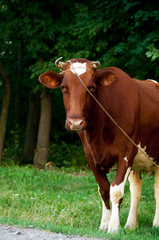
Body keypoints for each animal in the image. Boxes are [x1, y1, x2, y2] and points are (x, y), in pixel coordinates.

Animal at [39, 57, 159, 232]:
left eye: (92, 87)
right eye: (63, 87)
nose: (75, 122)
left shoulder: (126, 152)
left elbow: (116, 190)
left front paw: (114, 227)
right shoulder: (89, 154)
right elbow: (104, 188)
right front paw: (104, 224)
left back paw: (156, 224)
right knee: (137, 188)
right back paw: (131, 225)